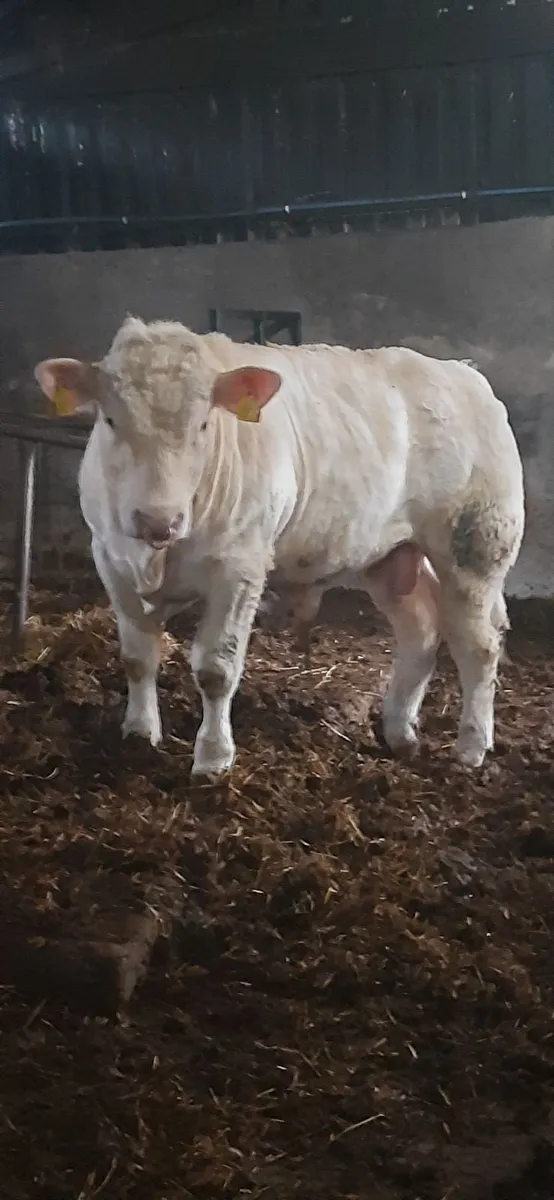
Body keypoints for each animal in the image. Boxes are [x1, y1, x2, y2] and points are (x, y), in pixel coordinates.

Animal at [34, 317, 525, 778]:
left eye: (203, 424)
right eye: (110, 420)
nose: (159, 521)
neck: (156, 555)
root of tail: (463, 373)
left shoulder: (240, 567)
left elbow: (216, 669)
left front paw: (213, 758)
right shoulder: (109, 557)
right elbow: (137, 656)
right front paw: (139, 733)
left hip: (478, 546)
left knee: (478, 645)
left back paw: (471, 748)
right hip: (389, 556)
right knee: (419, 632)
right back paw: (400, 731)